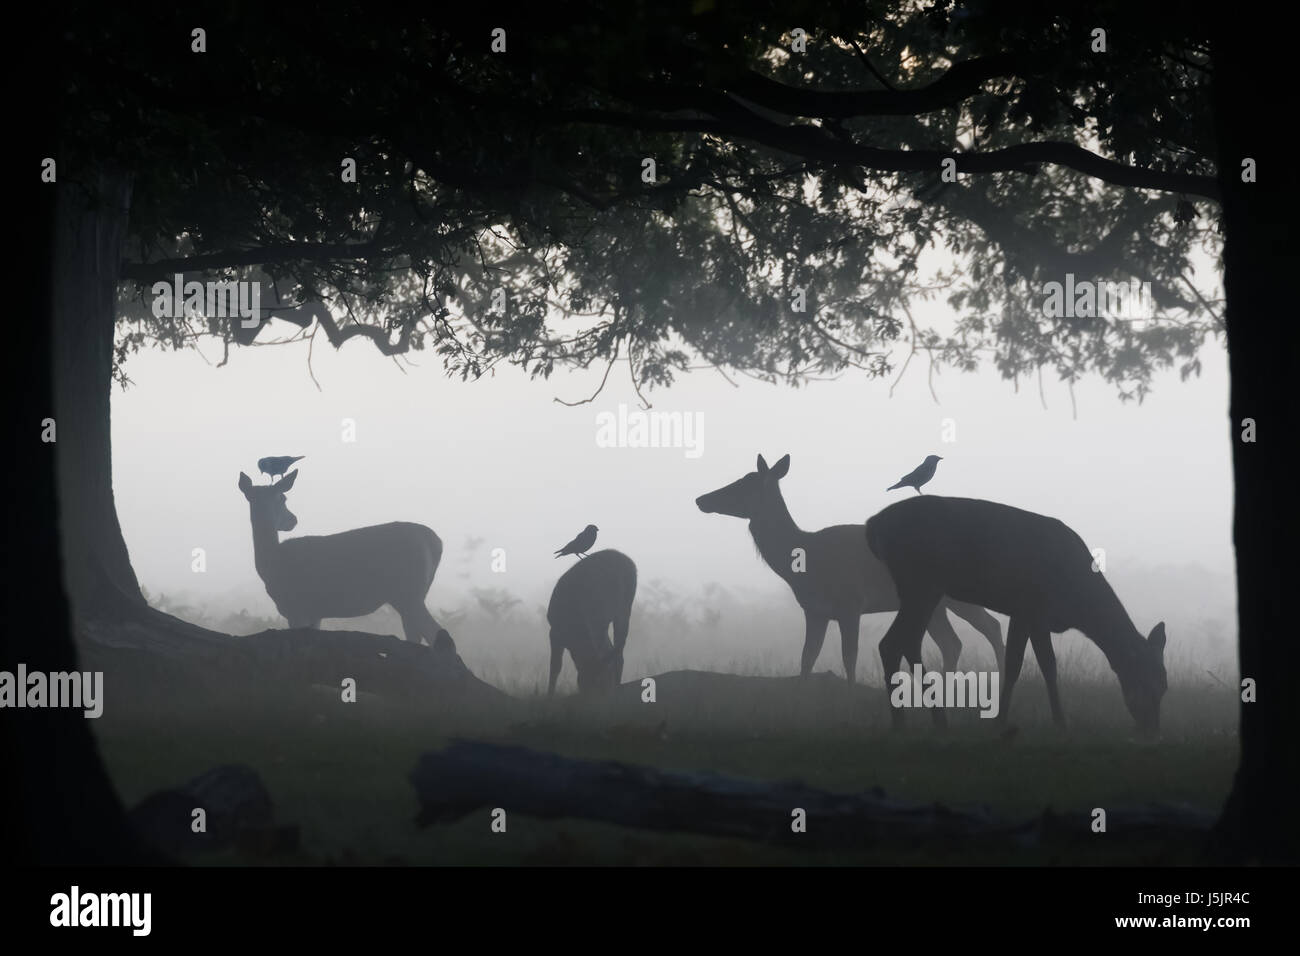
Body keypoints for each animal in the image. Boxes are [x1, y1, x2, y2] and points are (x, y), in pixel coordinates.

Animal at [239, 473, 452, 650]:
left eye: (284, 498)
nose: (293, 520)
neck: (271, 562)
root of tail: (436, 543)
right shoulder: (314, 611)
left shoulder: (296, 607)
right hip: (414, 594)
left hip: (408, 592)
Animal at [546, 548, 637, 697]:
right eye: (589, 681)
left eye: (602, 679)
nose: (603, 692)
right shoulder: (555, 631)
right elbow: (555, 666)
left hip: (618, 608)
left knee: (615, 648)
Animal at [696, 455, 998, 686]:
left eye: (744, 484)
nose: (701, 499)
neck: (805, 563)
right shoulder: (814, 610)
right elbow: (807, 657)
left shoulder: (851, 602)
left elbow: (849, 655)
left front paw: (851, 691)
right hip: (936, 606)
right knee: (953, 643)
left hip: (959, 596)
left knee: (990, 627)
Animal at [873, 496, 1170, 738]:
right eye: (1146, 681)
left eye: (1165, 685)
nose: (1153, 729)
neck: (1077, 603)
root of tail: (874, 526)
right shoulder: (1030, 608)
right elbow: (1032, 664)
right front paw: (1041, 722)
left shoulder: (1028, 615)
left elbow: (1031, 664)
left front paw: (1025, 720)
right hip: (921, 583)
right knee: (895, 641)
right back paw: (916, 722)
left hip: (921, 590)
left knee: (901, 642)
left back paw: (918, 721)